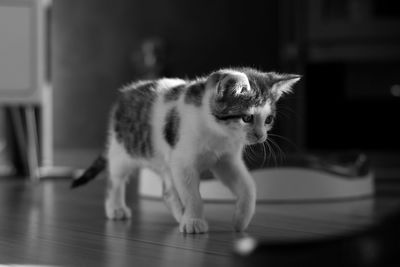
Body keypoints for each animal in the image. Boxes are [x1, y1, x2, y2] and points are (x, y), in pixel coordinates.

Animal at [71, 67, 300, 234]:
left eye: (268, 119)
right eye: (247, 118)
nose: (261, 136)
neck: (218, 134)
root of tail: (124, 94)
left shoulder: (226, 160)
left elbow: (248, 187)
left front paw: (240, 219)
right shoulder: (183, 162)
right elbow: (192, 194)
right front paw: (194, 221)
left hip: (165, 161)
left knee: (167, 191)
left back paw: (179, 214)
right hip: (124, 150)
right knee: (115, 178)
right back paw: (115, 207)